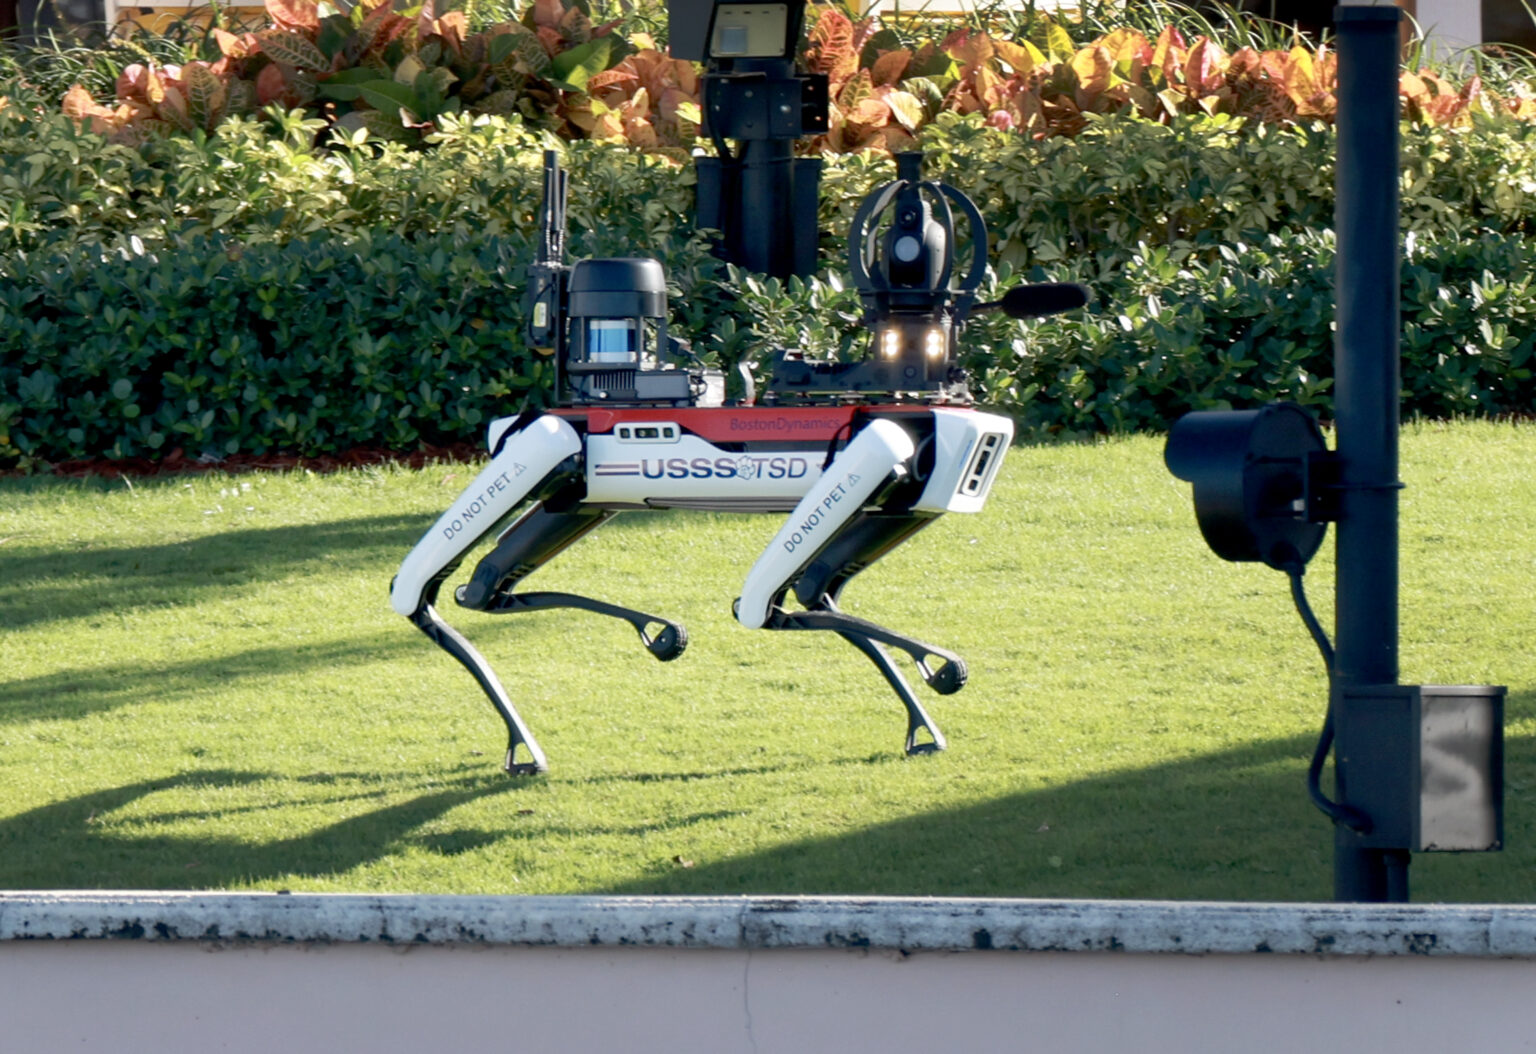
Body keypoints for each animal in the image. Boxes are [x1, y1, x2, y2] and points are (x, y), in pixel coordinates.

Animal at [387, 149, 1081, 771]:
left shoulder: (894, 489)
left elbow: (805, 595)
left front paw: (925, 712)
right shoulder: (883, 447)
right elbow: (764, 607)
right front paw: (937, 670)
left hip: (569, 495)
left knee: (481, 590)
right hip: (553, 457)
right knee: (432, 590)